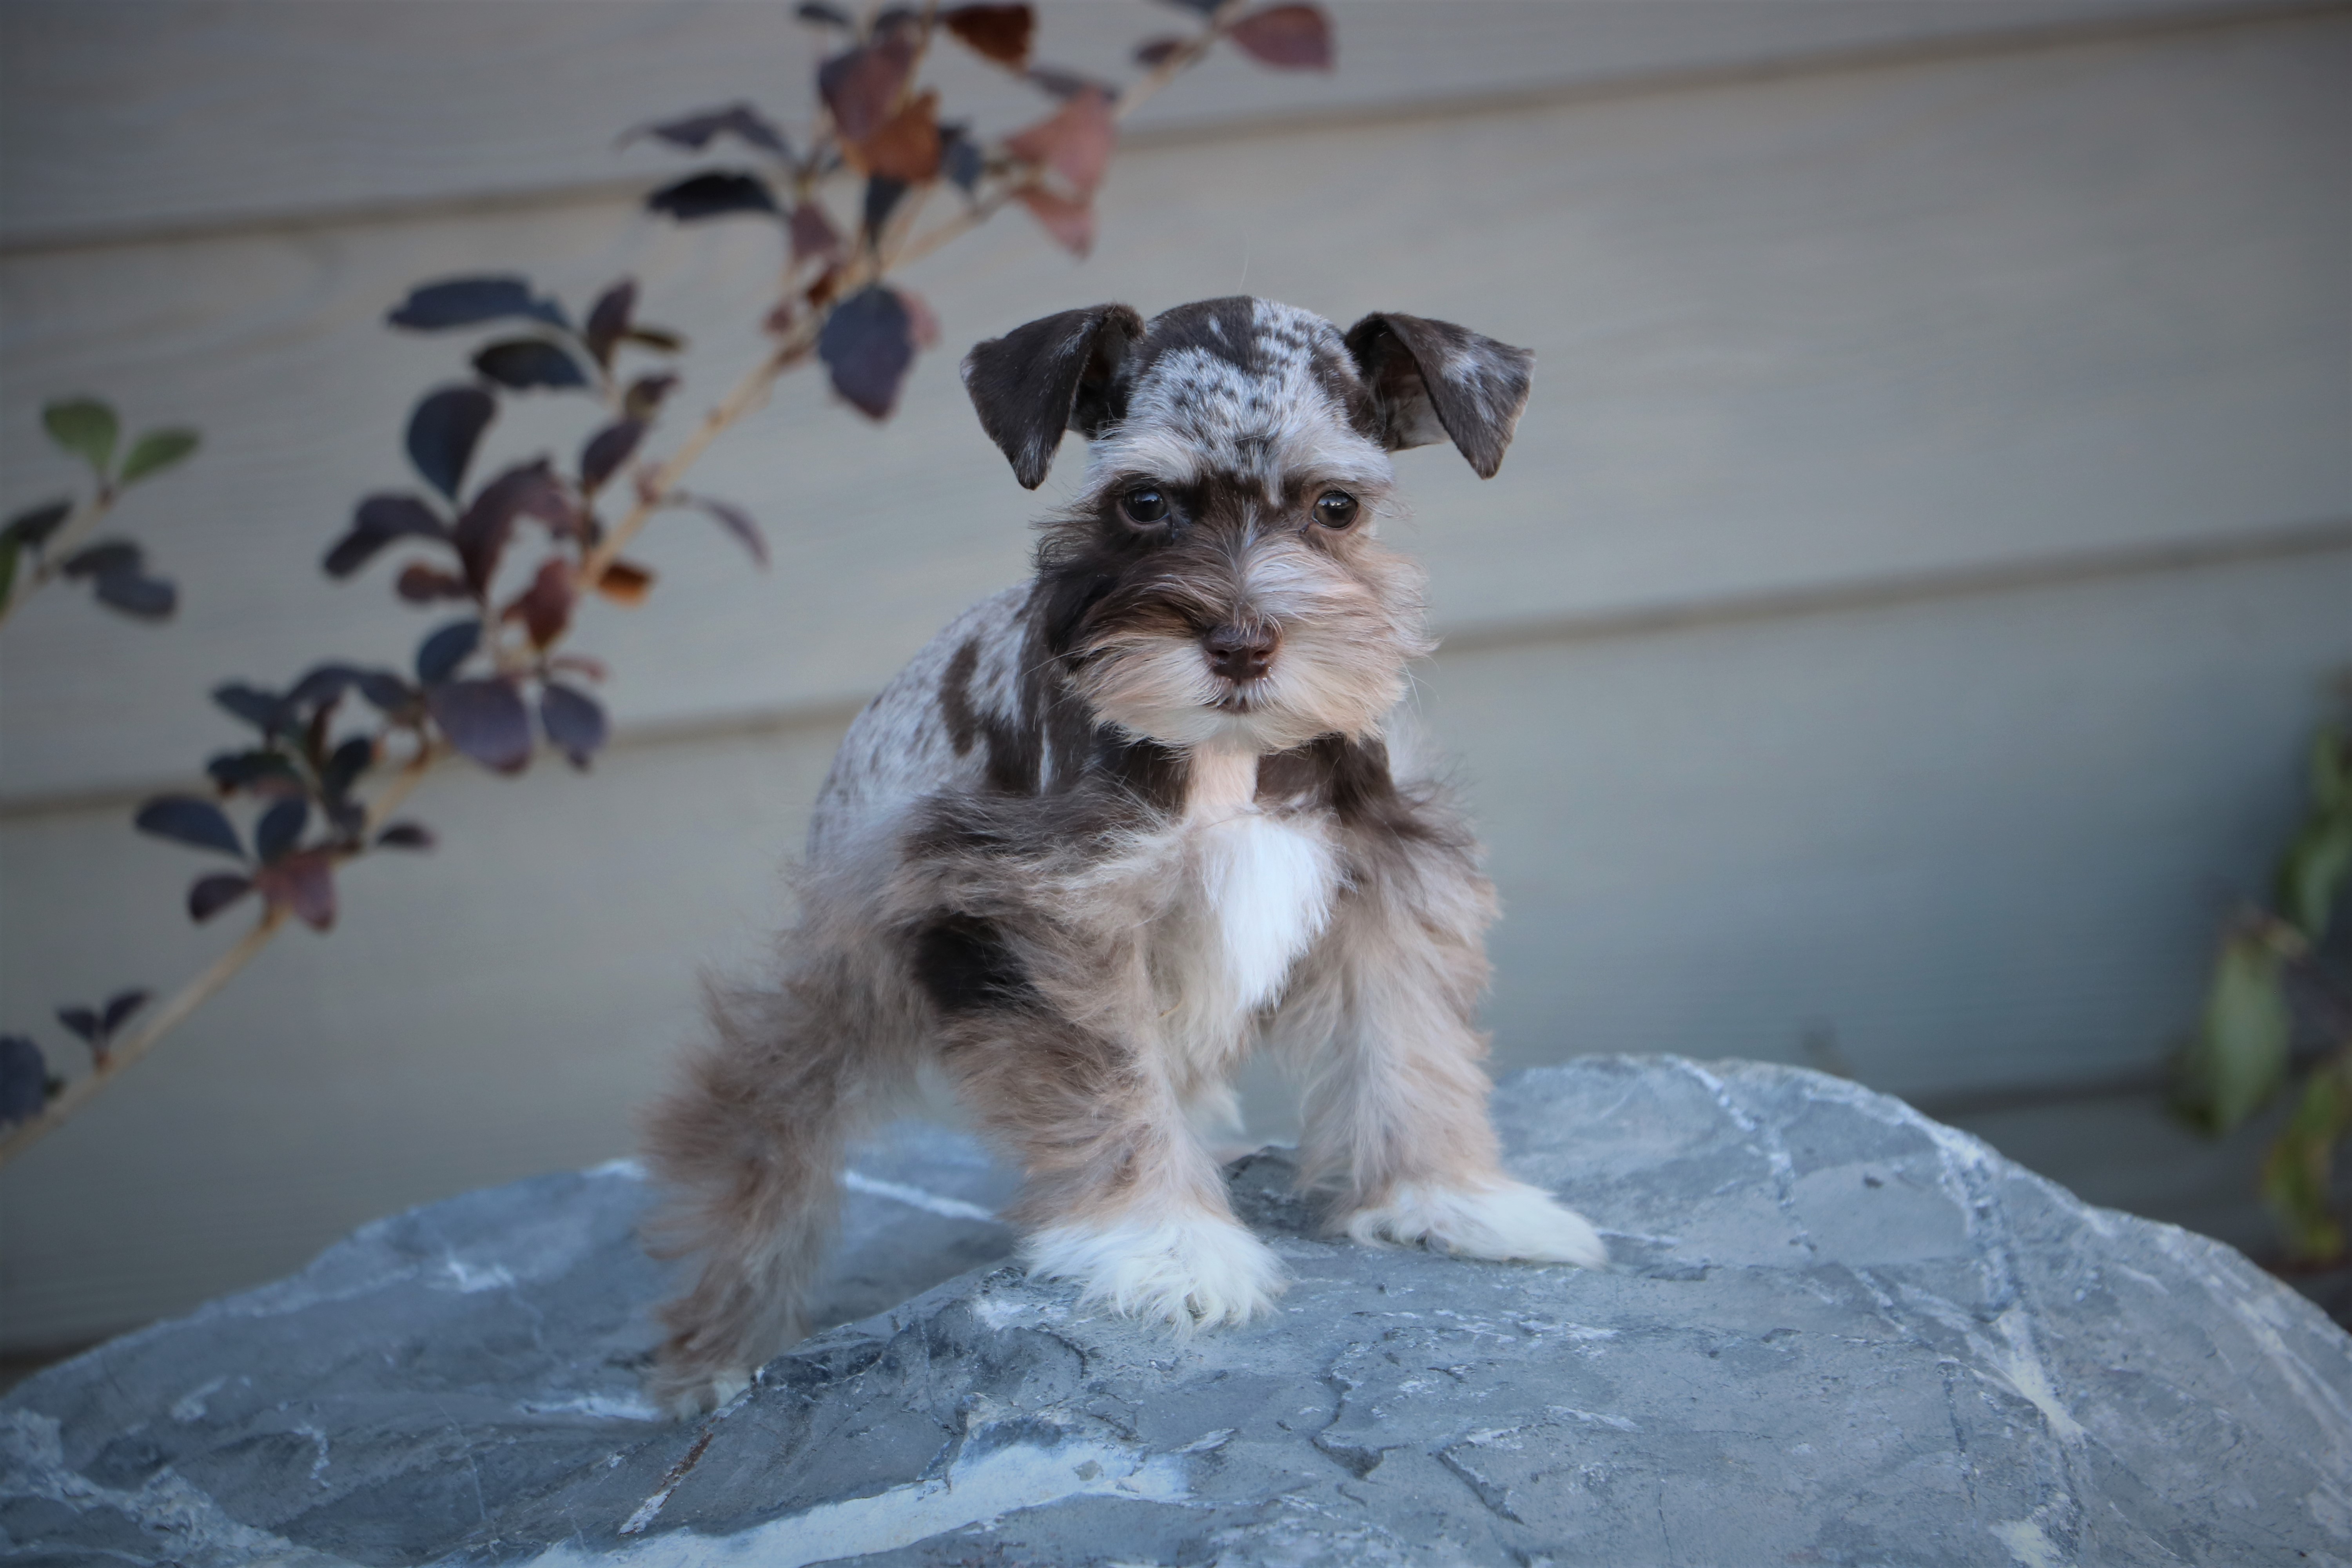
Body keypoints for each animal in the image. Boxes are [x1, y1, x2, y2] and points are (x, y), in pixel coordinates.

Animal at [640, 294, 1599, 1410]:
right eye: (1144, 502)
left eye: (1336, 507)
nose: (1241, 643)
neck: (1225, 758)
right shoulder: (1044, 912)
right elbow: (1111, 1087)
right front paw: (1169, 1247)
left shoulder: (1387, 877)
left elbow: (1407, 1042)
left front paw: (1449, 1196)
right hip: (836, 985)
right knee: (761, 1139)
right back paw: (716, 1352)